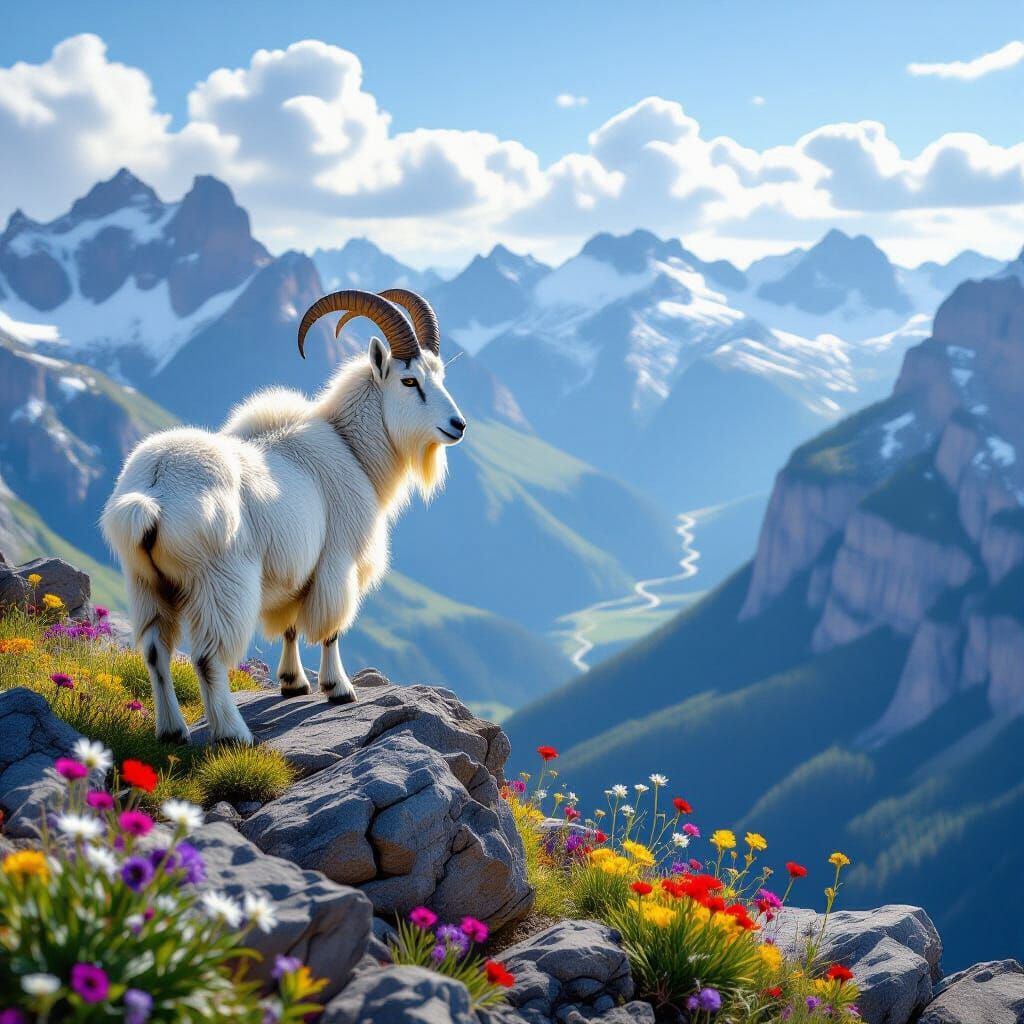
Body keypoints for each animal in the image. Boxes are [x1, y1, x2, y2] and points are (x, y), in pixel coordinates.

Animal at [101, 289, 466, 744]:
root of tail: (153, 491)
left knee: (155, 651)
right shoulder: (336, 561)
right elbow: (331, 627)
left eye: (440, 376)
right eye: (409, 381)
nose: (458, 425)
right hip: (222, 583)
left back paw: (172, 731)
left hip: (146, 584)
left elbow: (291, 624)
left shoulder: (295, 570)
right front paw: (339, 689)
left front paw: (294, 683)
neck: (352, 450)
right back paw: (233, 734)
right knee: (207, 657)